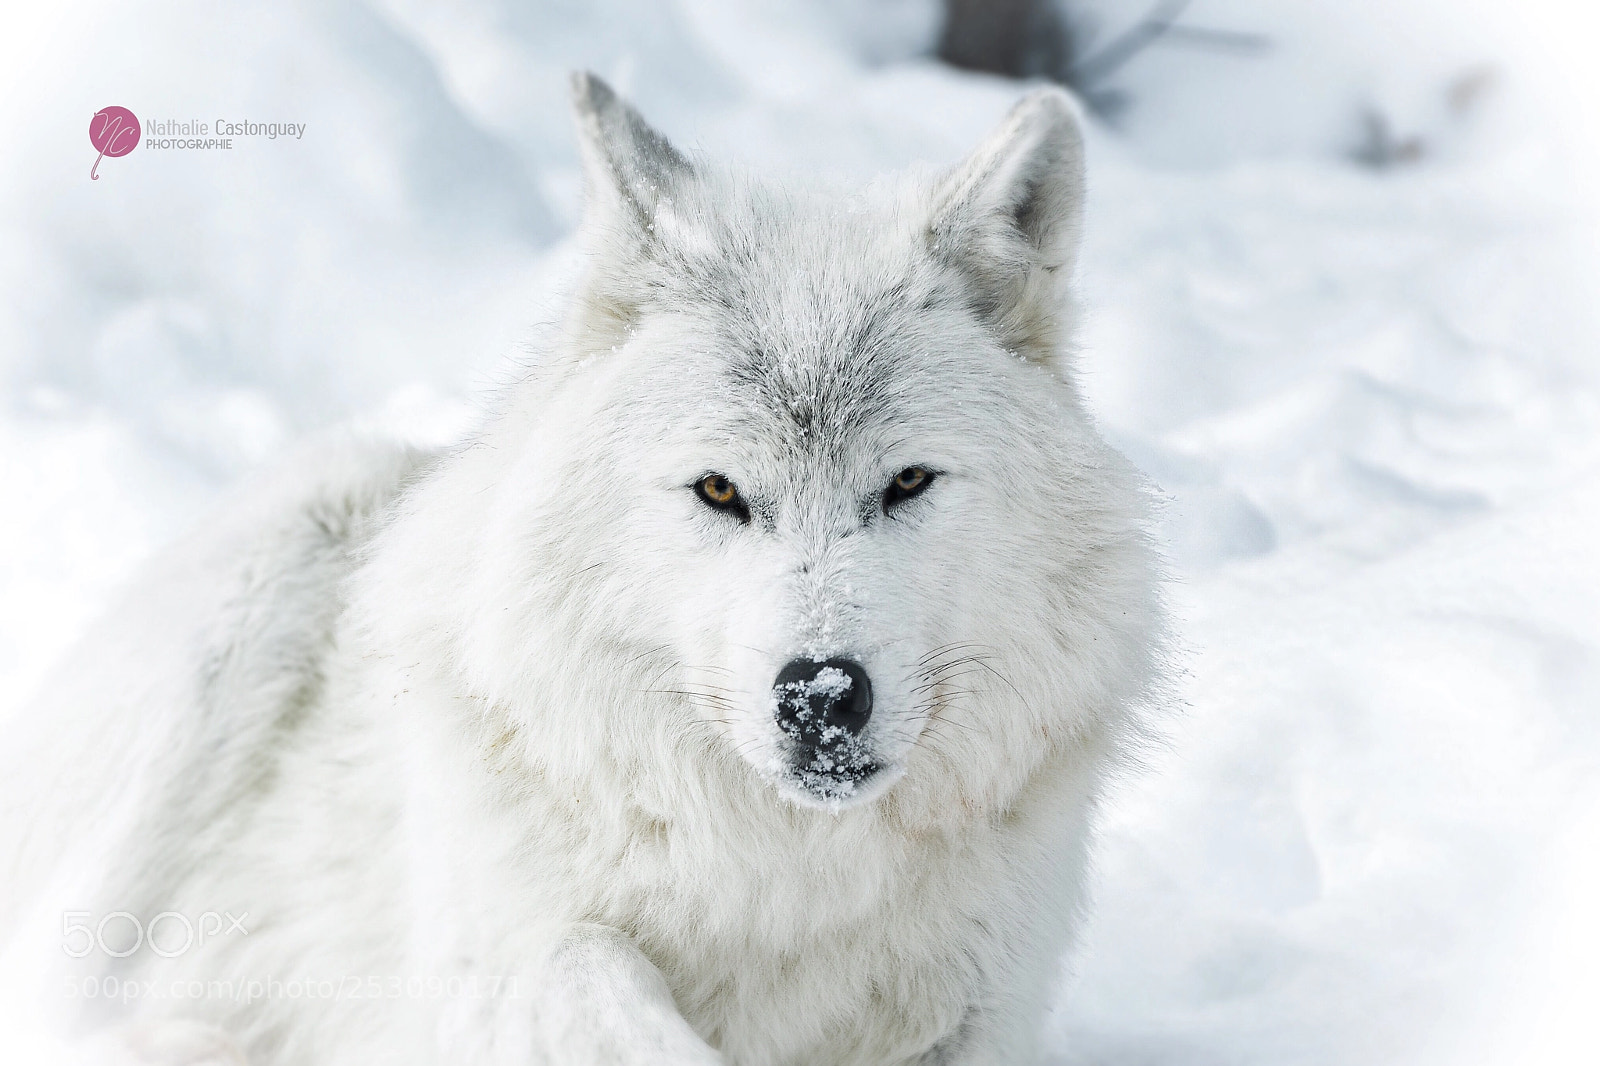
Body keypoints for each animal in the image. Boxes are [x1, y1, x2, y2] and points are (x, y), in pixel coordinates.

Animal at [0, 73, 1163, 1065]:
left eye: (909, 482)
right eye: (719, 491)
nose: (821, 697)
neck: (786, 872)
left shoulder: (977, 1011)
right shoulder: (514, 955)